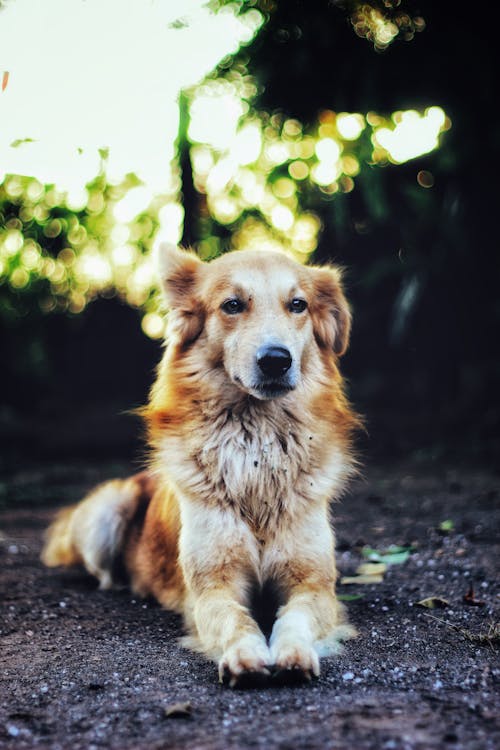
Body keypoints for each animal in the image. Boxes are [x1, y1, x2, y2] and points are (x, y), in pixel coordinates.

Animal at [42, 244, 360, 692]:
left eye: (298, 305)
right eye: (232, 305)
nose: (276, 360)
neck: (255, 449)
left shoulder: (314, 585)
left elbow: (295, 618)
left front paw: (294, 653)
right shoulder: (213, 587)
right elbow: (235, 619)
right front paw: (245, 654)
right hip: (110, 507)